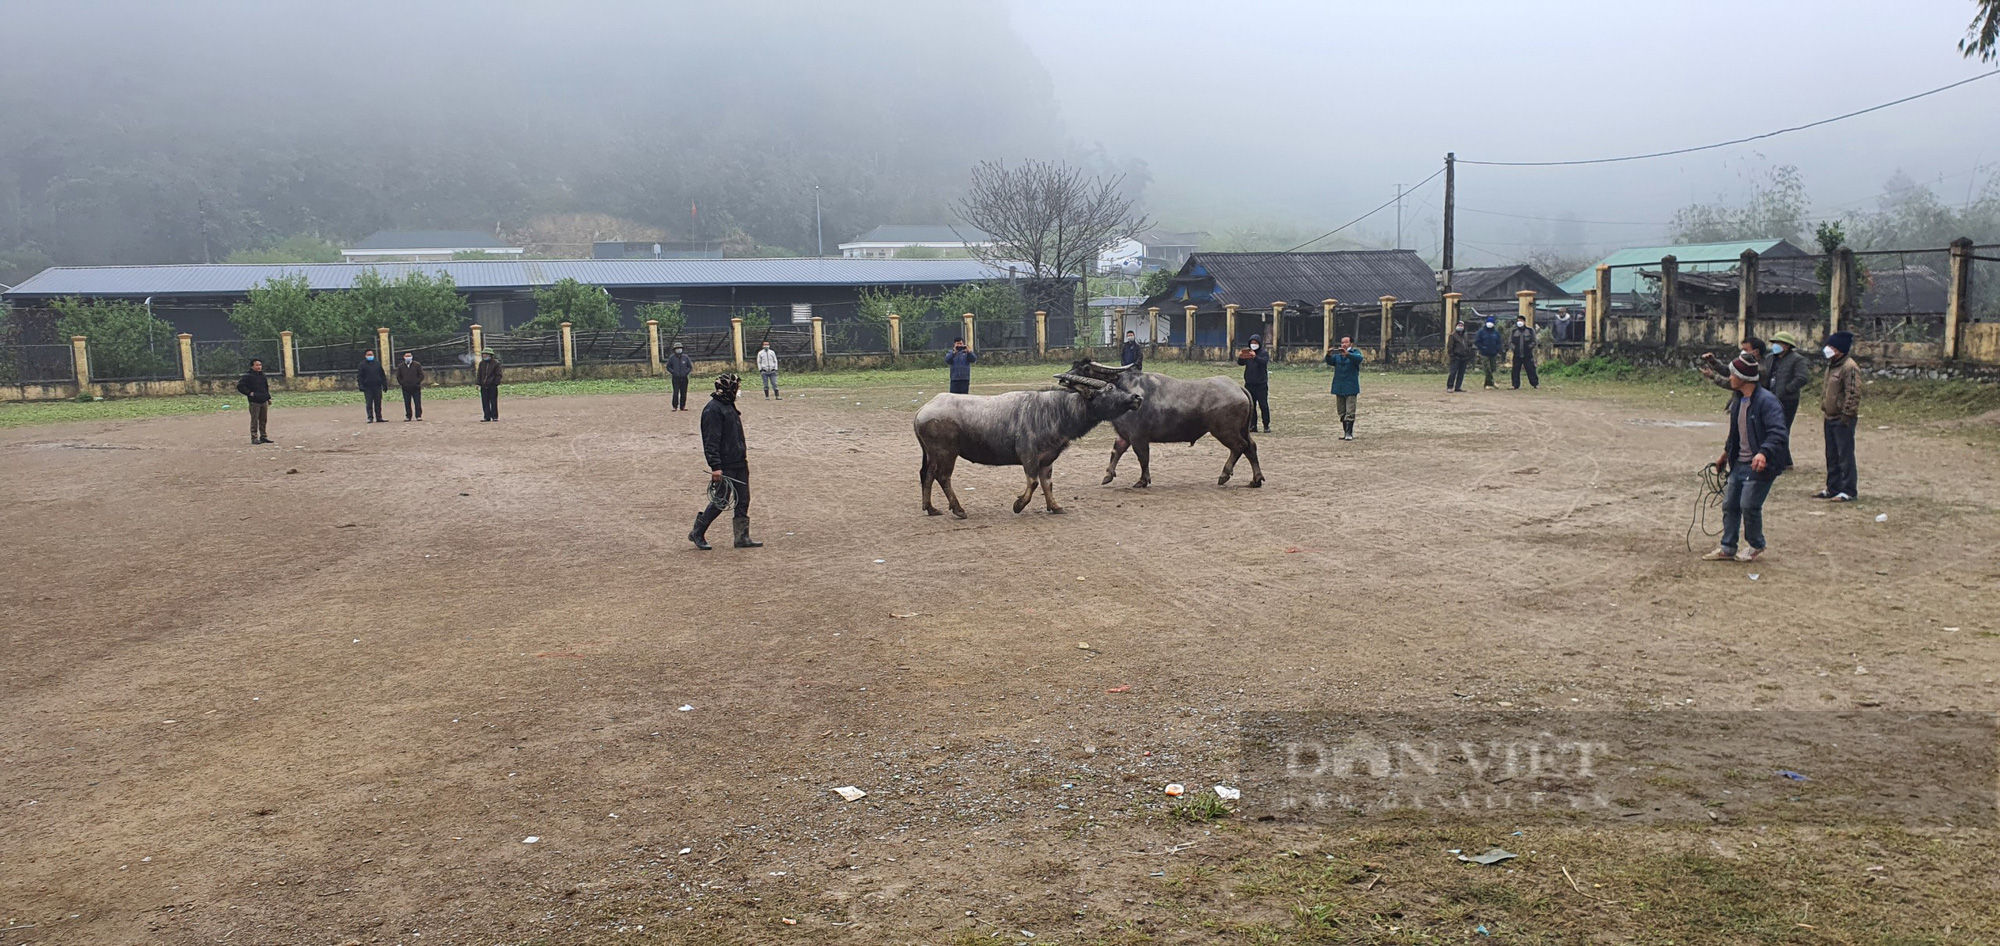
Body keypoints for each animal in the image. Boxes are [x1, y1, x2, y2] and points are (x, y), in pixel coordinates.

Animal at [916, 370, 1144, 516]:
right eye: (1110, 388)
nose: (1136, 397)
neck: (1055, 411)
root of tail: (922, 411)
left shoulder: (1047, 459)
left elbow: (1047, 484)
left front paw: (1055, 507)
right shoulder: (1028, 456)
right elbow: (1033, 482)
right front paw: (1018, 505)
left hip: (932, 454)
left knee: (927, 475)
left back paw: (931, 509)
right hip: (947, 453)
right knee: (943, 477)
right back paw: (959, 510)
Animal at [1080, 360, 1264, 490]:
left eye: (1086, 368)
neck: (1126, 393)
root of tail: (1238, 388)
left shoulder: (1138, 438)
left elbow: (1143, 458)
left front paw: (1142, 481)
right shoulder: (1124, 436)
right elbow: (1115, 453)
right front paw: (1108, 476)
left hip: (1224, 431)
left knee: (1240, 446)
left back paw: (1225, 475)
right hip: (1242, 429)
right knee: (1251, 447)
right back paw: (1255, 480)